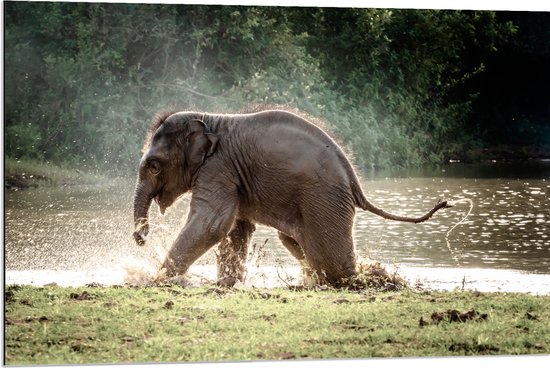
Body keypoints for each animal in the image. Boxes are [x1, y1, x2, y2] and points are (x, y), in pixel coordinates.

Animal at [132, 109, 450, 284]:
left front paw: (155, 279)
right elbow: (234, 228)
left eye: (154, 165)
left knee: (329, 260)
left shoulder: (219, 168)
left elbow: (212, 224)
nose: (141, 237)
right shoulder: (232, 176)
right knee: (296, 243)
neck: (209, 119)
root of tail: (354, 181)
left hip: (324, 199)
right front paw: (227, 284)